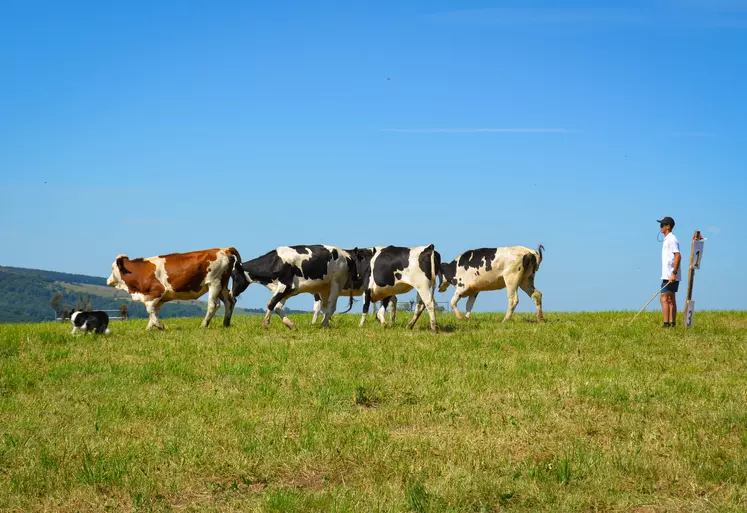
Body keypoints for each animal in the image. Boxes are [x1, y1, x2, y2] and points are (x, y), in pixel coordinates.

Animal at [105, 247, 238, 328]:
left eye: (112, 268)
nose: (107, 280)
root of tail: (223, 249)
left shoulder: (157, 291)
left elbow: (149, 309)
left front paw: (159, 326)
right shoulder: (160, 298)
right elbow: (154, 312)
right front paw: (149, 328)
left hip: (214, 283)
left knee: (213, 305)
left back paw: (204, 324)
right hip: (222, 285)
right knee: (229, 302)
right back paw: (226, 323)